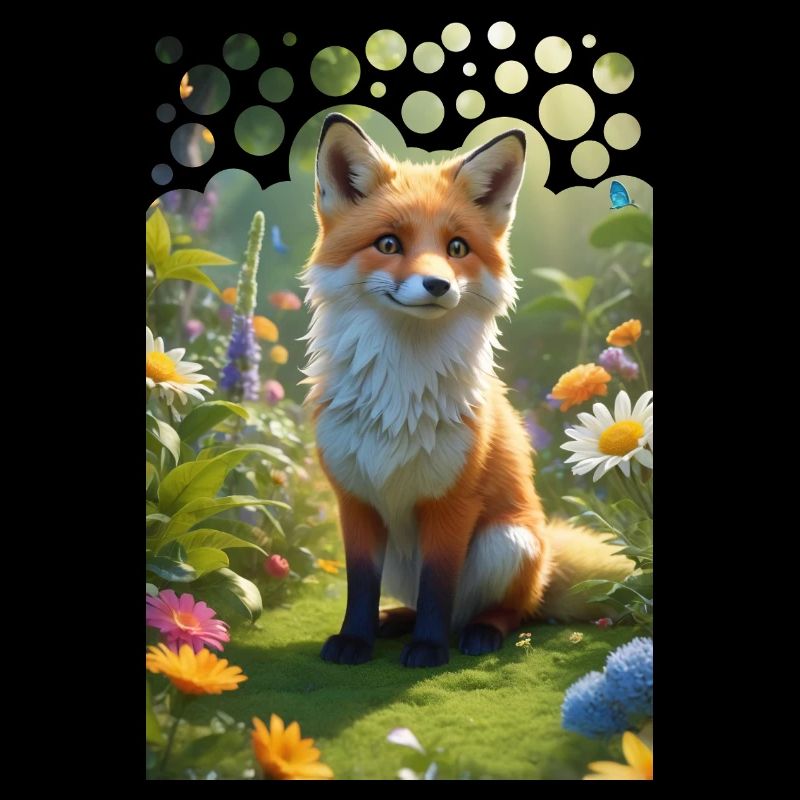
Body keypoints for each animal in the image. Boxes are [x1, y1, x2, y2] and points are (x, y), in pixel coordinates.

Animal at [301, 113, 631, 668]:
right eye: (388, 244)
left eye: (456, 248)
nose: (438, 285)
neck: (400, 394)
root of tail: (547, 556)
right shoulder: (356, 500)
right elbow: (361, 586)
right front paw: (355, 640)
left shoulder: (453, 503)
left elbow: (439, 585)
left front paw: (429, 650)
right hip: (405, 557)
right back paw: (397, 621)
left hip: (506, 541)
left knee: (507, 610)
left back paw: (479, 633)